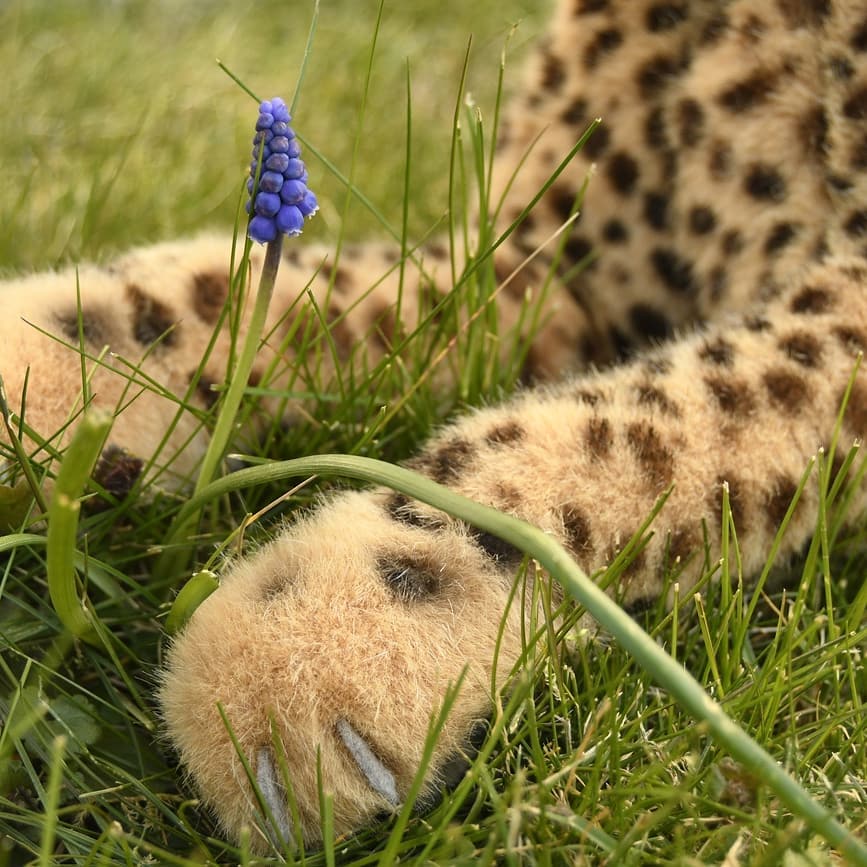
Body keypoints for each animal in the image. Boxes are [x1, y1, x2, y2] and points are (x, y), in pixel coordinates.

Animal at [1, 0, 867, 856]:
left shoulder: (842, 312)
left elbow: (672, 415)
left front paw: (335, 630)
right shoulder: (534, 267)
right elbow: (282, 300)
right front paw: (46, 357)